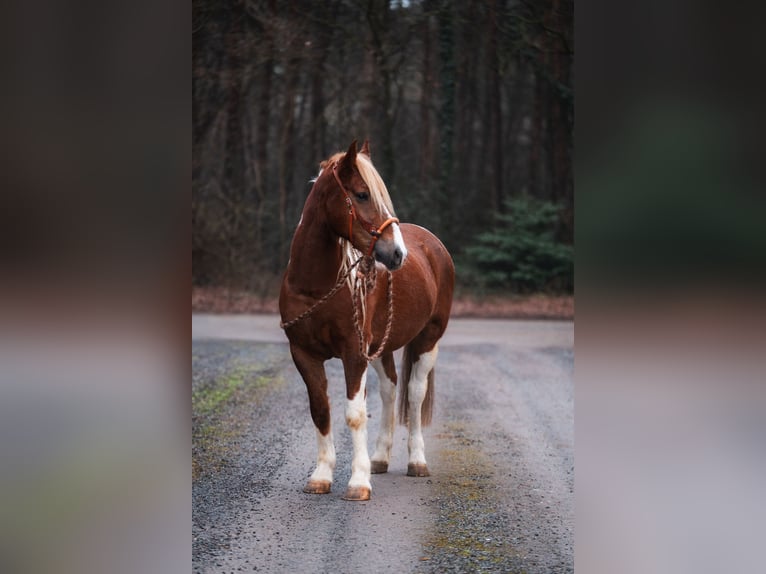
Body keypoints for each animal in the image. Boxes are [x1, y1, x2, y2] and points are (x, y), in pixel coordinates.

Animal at [279, 140, 454, 501]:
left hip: (429, 339)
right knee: (390, 389)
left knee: (414, 395)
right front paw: (321, 476)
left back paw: (416, 461)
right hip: (381, 347)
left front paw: (358, 481)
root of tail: (432, 244)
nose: (397, 254)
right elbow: (321, 409)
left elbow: (356, 414)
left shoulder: (353, 354)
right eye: (361, 195)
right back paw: (380, 458)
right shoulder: (303, 354)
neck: (314, 287)